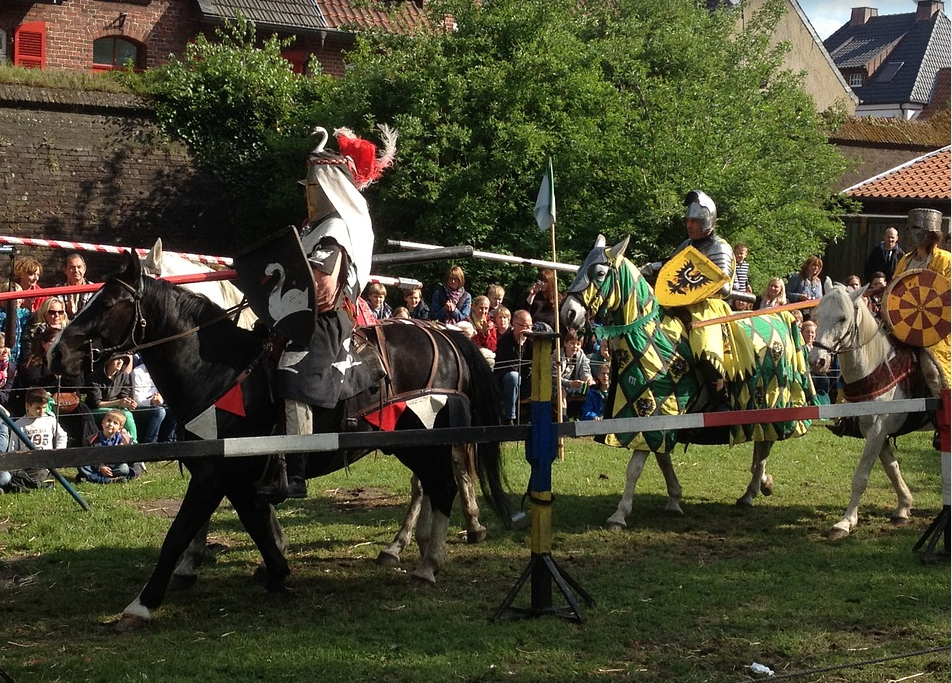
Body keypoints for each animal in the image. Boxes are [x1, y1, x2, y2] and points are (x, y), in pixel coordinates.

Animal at [50, 254, 512, 632]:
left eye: (108, 303)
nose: (57, 353)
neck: (217, 369)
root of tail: (446, 337)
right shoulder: (233, 477)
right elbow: (254, 523)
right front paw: (276, 572)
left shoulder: (215, 474)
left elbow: (180, 532)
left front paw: (143, 604)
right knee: (433, 486)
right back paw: (416, 549)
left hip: (422, 440)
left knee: (443, 485)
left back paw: (428, 562)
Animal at [808, 284, 932, 540]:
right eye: (816, 316)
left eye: (842, 318)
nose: (817, 361)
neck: (877, 368)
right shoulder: (875, 433)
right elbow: (892, 468)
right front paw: (903, 507)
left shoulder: (877, 430)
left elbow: (861, 478)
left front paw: (845, 522)